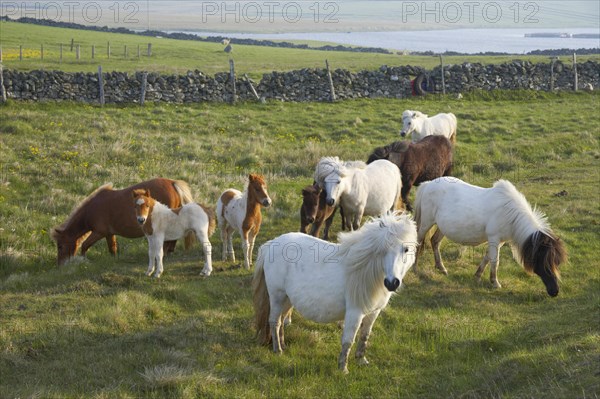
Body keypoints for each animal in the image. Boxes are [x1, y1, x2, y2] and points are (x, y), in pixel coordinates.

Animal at [51, 178, 193, 266]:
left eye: (60, 246)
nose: (60, 265)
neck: (91, 209)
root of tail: (172, 183)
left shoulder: (98, 233)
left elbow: (85, 246)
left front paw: (83, 260)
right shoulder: (109, 234)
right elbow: (112, 249)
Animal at [253, 214, 418, 374]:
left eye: (406, 249)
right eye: (383, 249)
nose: (392, 283)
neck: (364, 272)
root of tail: (271, 244)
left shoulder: (373, 312)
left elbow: (365, 335)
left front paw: (361, 360)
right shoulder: (354, 312)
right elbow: (348, 341)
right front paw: (343, 369)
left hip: (287, 299)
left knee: (281, 320)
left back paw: (283, 345)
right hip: (277, 296)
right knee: (274, 321)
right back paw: (278, 350)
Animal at [414, 178, 564, 296]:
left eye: (556, 262)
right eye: (544, 262)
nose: (555, 291)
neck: (509, 212)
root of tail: (427, 184)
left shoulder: (499, 242)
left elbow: (487, 257)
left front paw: (478, 276)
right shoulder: (494, 238)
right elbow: (494, 261)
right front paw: (495, 283)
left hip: (442, 227)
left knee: (434, 241)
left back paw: (441, 268)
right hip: (427, 222)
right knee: (418, 240)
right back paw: (415, 267)